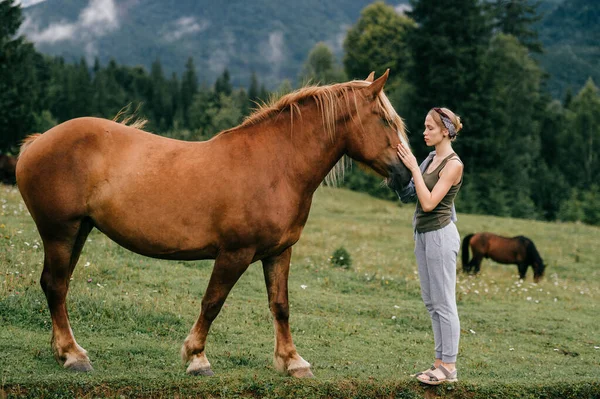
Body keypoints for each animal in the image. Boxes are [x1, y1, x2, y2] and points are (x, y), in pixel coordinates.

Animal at [15, 71, 412, 378]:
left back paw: (63, 350)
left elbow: (280, 306)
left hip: (79, 231)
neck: (276, 167)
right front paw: (197, 358)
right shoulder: (235, 253)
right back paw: (73, 355)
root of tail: (37, 141)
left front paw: (292, 362)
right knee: (55, 286)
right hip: (59, 232)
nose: (407, 177)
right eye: (385, 120)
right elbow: (212, 303)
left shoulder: (279, 252)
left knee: (59, 286)